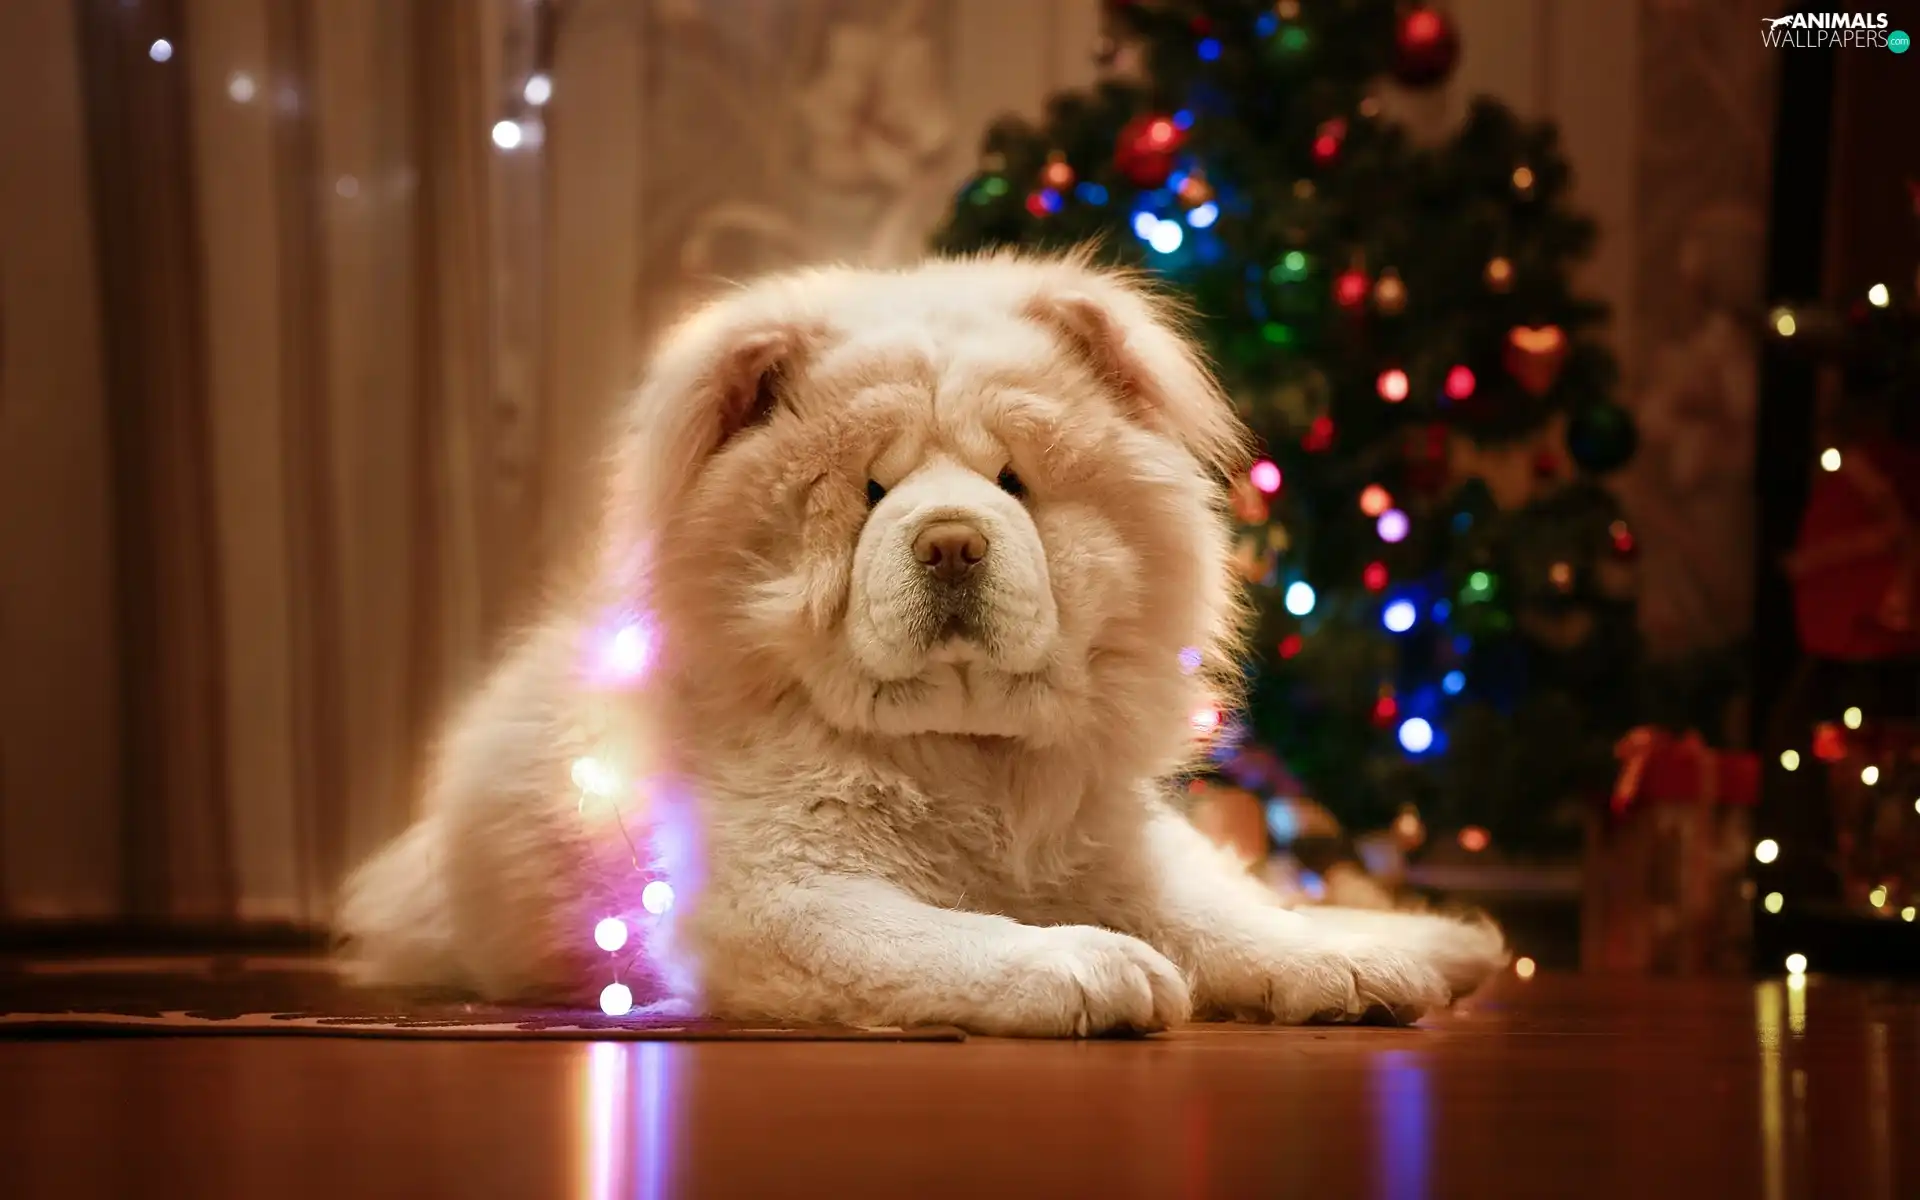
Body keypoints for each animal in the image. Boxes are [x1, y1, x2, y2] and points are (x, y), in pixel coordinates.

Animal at [337, 249, 1505, 1029]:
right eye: (867, 491)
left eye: (1013, 482)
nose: (951, 543)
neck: (965, 755)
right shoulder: (776, 895)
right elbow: (945, 935)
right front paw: (1093, 967)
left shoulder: (1109, 841)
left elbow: (1225, 919)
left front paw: (1341, 972)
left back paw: (1435, 942)